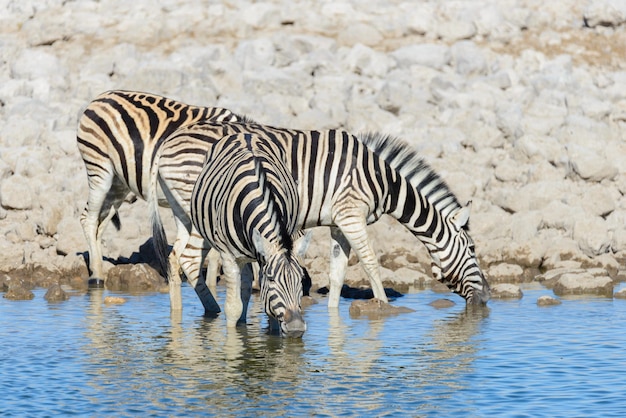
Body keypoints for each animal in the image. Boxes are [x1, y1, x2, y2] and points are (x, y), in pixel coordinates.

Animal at [73, 89, 239, 310]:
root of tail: (101, 97)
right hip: (99, 169)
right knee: (88, 219)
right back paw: (97, 278)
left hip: (119, 184)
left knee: (100, 223)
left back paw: (95, 267)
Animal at [150, 119, 488, 308]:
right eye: (472, 248)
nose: (486, 297)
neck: (383, 181)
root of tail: (167, 144)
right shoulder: (352, 215)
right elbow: (370, 262)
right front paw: (382, 304)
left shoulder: (339, 223)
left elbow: (337, 274)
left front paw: (334, 317)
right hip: (204, 214)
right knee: (189, 259)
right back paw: (214, 311)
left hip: (184, 213)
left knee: (174, 257)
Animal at [150, 132, 308, 334]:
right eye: (272, 279)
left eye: (301, 279)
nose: (296, 327)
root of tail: (245, 134)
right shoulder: (228, 255)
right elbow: (233, 308)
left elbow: (268, 308)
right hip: (188, 215)